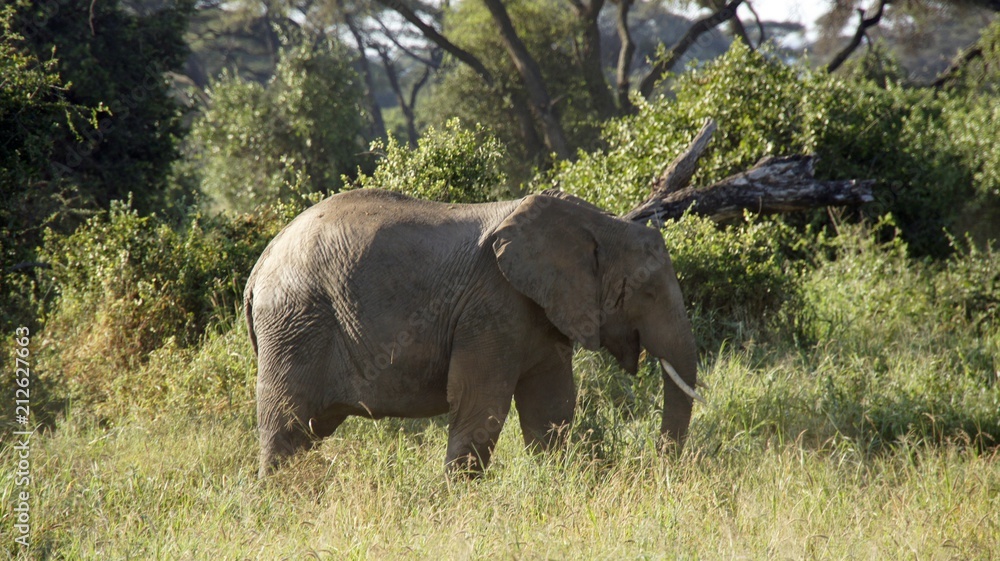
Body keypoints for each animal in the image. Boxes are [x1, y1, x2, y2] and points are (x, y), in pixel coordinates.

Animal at [244, 188, 703, 476]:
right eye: (646, 291)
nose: (659, 466)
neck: (598, 221)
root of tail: (260, 264)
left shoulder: (540, 311)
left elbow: (550, 406)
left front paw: (554, 485)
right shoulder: (491, 307)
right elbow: (481, 402)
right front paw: (455, 501)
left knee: (306, 432)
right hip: (296, 321)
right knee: (287, 426)